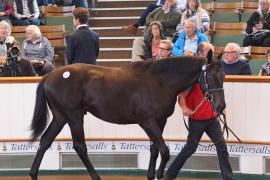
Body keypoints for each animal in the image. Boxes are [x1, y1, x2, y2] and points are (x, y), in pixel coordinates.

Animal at [29, 54, 226, 179]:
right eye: (210, 77)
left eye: (223, 75)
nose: (220, 106)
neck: (159, 81)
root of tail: (49, 76)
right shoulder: (147, 122)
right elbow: (164, 150)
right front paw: (160, 174)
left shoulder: (160, 121)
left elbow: (155, 149)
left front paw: (151, 175)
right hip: (74, 116)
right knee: (80, 147)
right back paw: (96, 177)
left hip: (60, 117)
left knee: (45, 141)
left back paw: (33, 174)